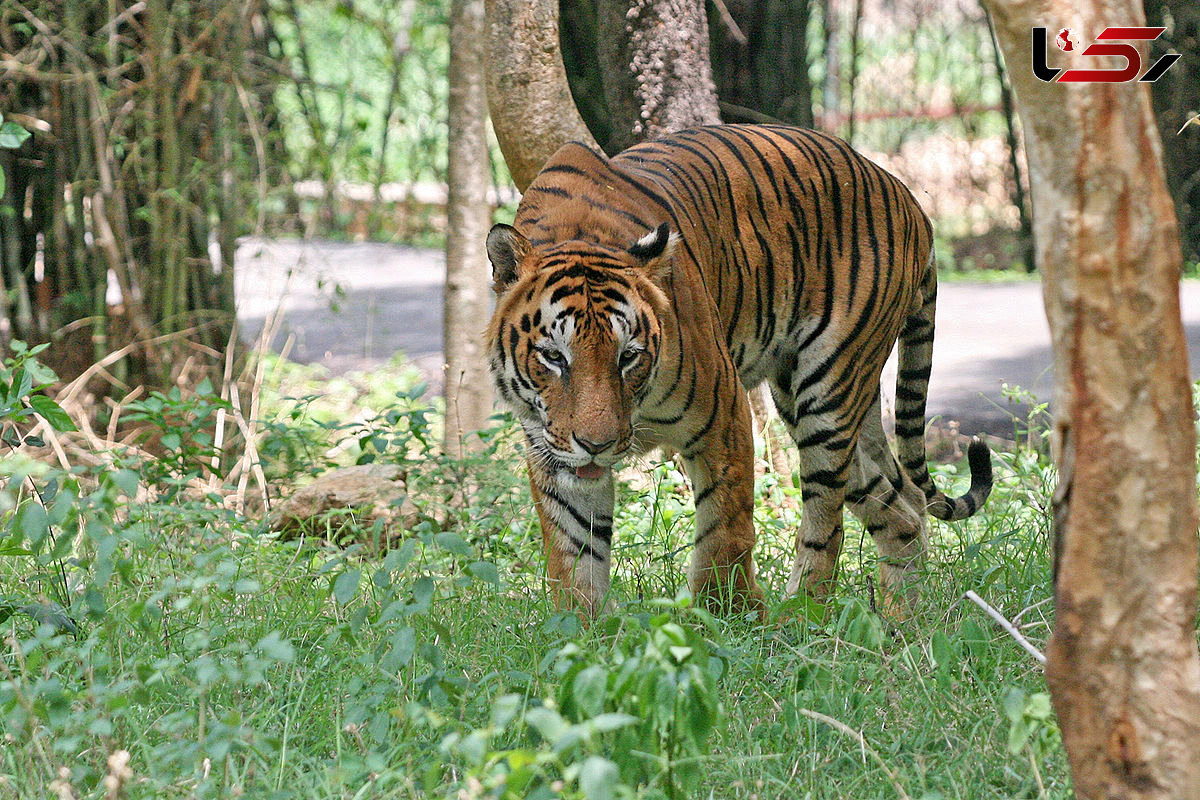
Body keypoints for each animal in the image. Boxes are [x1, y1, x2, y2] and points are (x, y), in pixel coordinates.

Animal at [482, 125, 988, 618]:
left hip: (828, 391)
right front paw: (583, 631)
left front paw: (727, 617)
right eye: (554, 357)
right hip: (824, 406)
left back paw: (800, 617)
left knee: (827, 522)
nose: (597, 446)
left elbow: (724, 530)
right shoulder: (551, 449)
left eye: (629, 356)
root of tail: (910, 200)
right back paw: (904, 621)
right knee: (906, 508)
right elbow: (574, 555)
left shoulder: (721, 415)